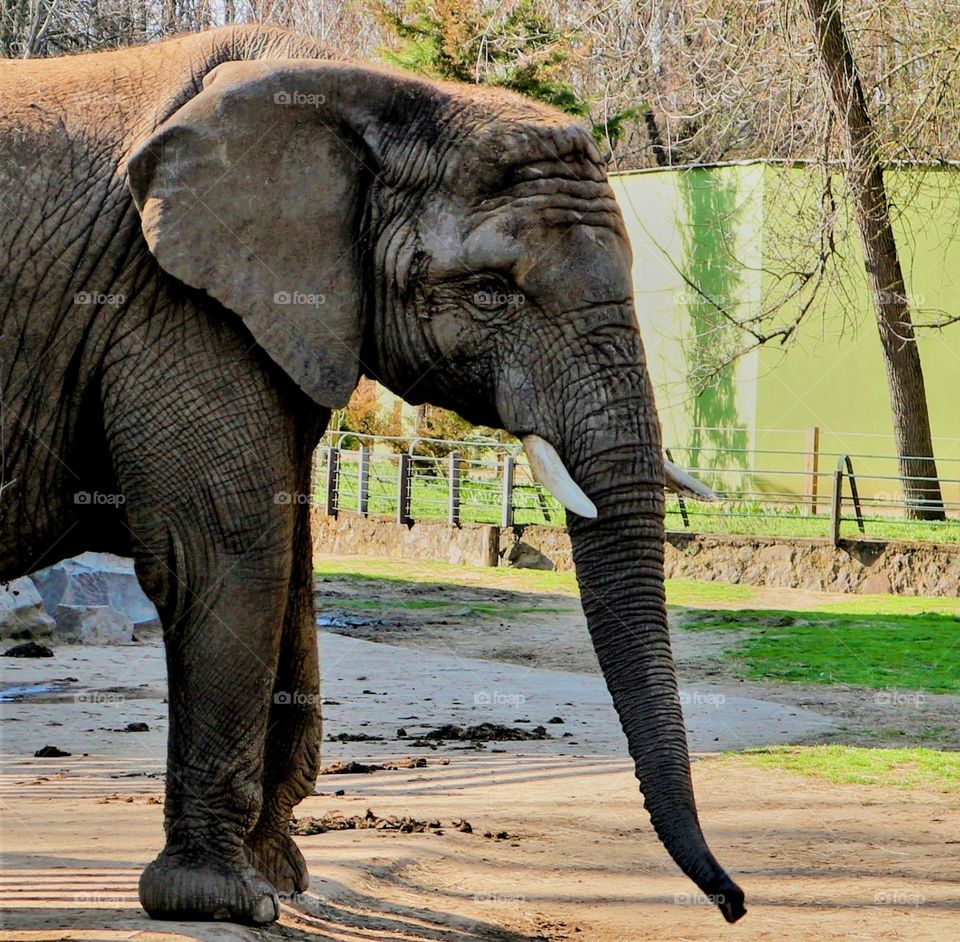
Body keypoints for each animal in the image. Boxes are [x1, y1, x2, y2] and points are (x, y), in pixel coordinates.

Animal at [0, 25, 744, 927]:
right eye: (490, 292)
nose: (733, 902)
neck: (367, 93)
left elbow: (288, 560)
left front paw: (281, 879)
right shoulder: (168, 301)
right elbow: (222, 551)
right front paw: (225, 902)